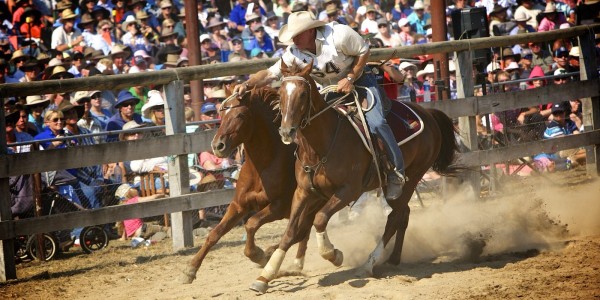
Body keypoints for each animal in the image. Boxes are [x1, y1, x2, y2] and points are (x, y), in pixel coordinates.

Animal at [182, 86, 310, 284]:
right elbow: (214, 234)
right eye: (221, 114)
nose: (217, 145)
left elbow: (251, 224)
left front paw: (258, 255)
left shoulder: (280, 207)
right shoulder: (238, 205)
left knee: (300, 233)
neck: (262, 168)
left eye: (241, 114)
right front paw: (191, 269)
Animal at [248, 61, 460, 292]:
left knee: (394, 218)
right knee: (403, 214)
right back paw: (393, 259)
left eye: (303, 94)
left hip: (412, 177)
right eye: (280, 94)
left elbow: (320, 220)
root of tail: (428, 113)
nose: (287, 131)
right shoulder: (304, 192)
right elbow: (291, 231)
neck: (322, 145)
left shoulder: (348, 191)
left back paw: (368, 264)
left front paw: (334, 254)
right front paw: (265, 276)